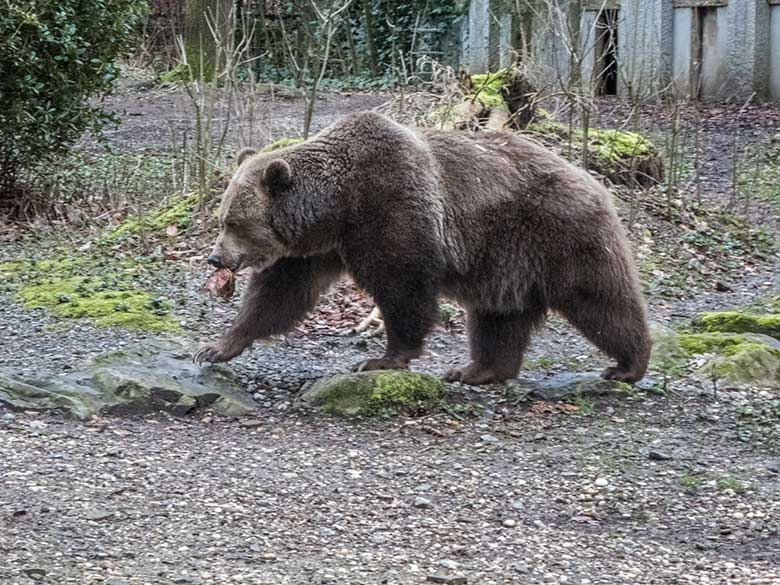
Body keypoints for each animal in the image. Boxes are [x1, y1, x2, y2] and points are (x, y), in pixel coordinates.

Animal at [195, 110, 652, 386]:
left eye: (233, 222)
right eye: (222, 218)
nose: (216, 258)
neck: (336, 207)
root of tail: (593, 180)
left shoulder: (391, 208)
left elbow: (403, 286)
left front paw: (383, 357)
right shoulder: (318, 249)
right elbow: (280, 295)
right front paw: (216, 347)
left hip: (559, 235)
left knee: (600, 300)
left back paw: (628, 364)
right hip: (505, 262)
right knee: (498, 315)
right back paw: (476, 369)